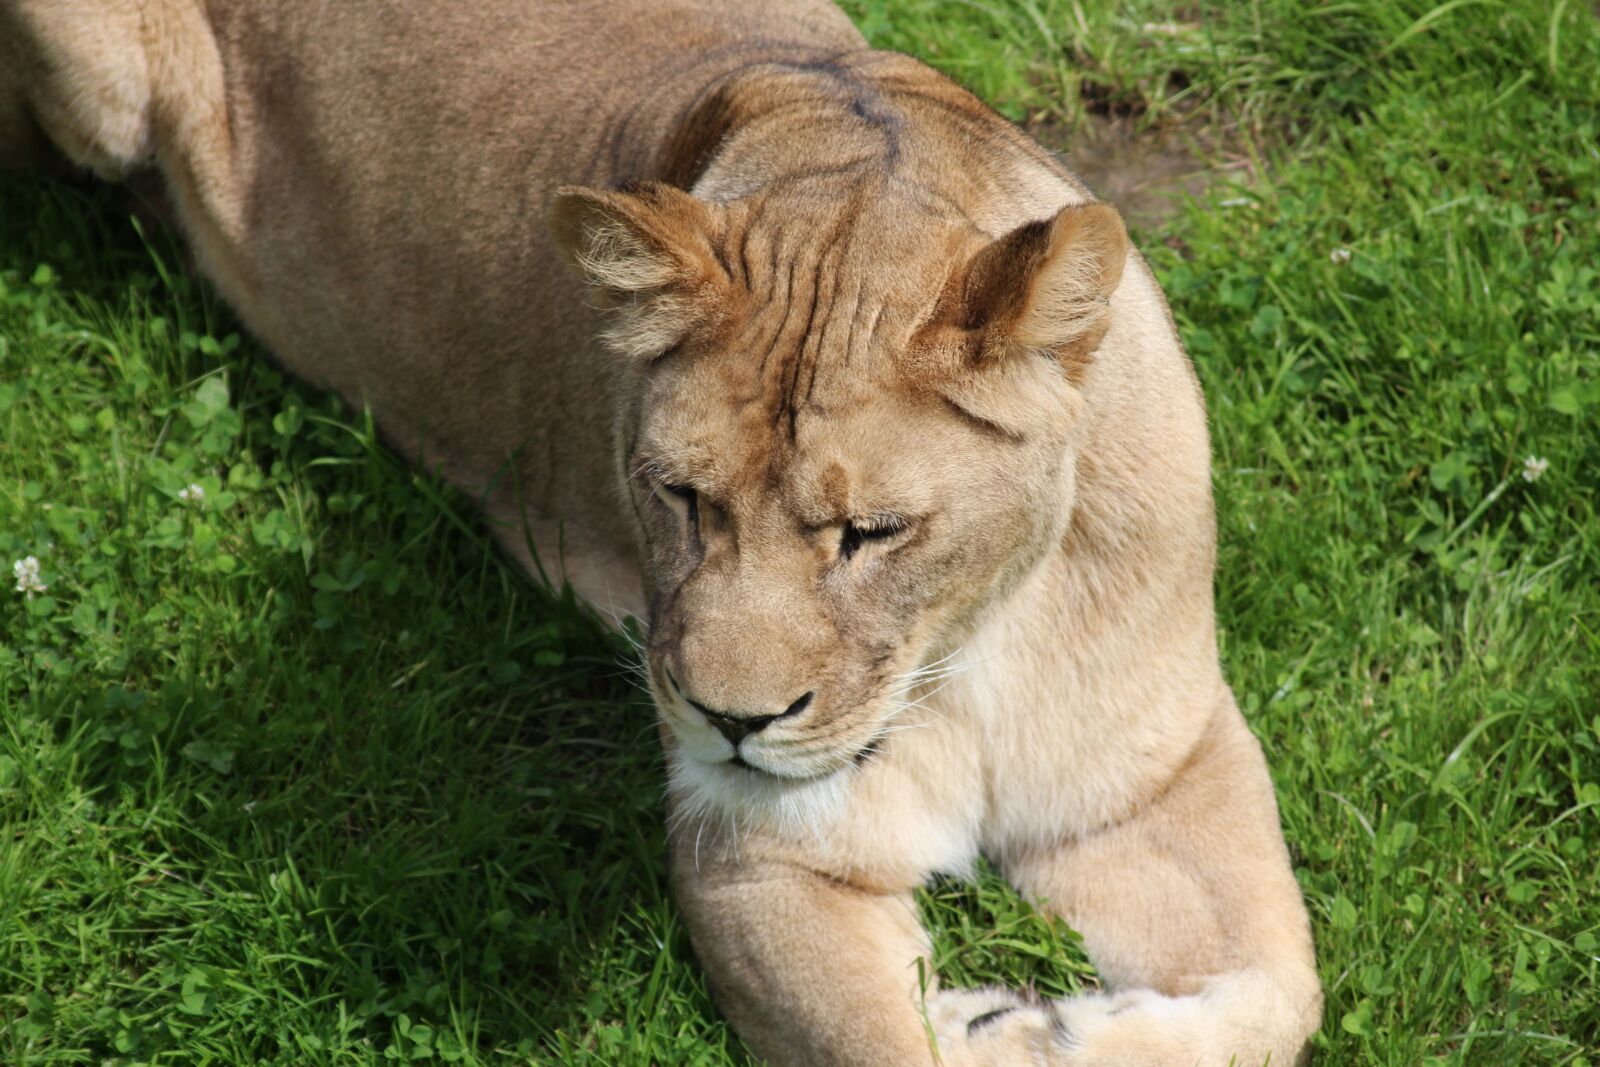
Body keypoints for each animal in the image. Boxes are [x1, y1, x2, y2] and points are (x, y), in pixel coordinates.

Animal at [0, 0, 1323, 1062]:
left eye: (873, 531)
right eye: (679, 496)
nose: (731, 723)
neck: (964, 651)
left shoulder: (1154, 768)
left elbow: (1283, 993)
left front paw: (1048, 1025)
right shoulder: (754, 852)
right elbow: (883, 1043)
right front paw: (988, 1022)